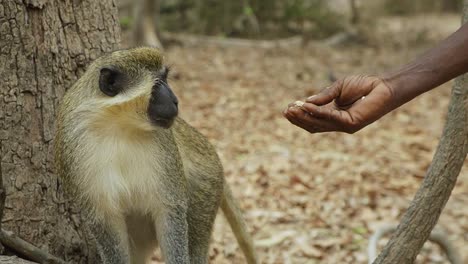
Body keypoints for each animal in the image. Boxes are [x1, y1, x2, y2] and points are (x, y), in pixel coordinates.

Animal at [57, 47, 260, 264]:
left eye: (165, 78)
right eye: (158, 83)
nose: (176, 101)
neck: (118, 125)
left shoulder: (165, 148)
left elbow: (170, 211)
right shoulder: (72, 146)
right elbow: (105, 221)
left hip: (207, 184)